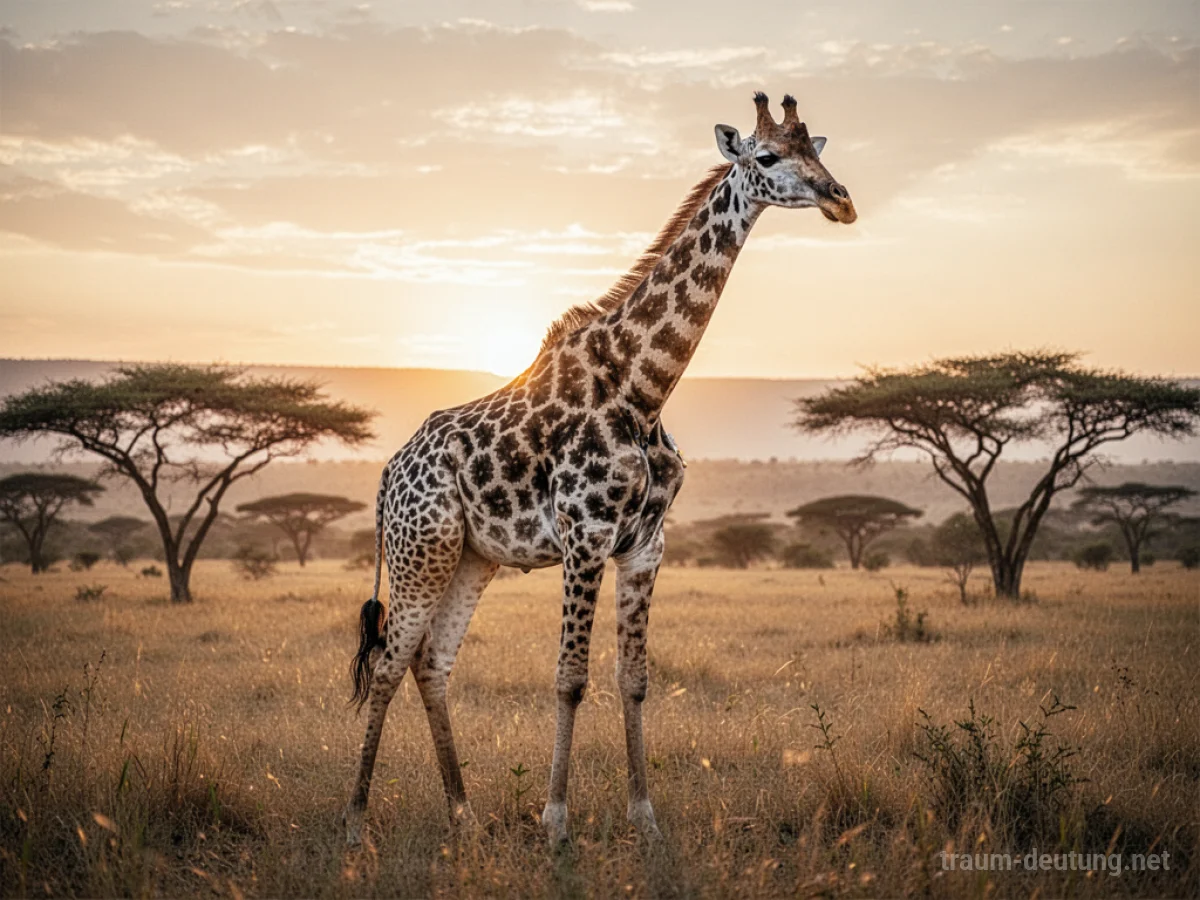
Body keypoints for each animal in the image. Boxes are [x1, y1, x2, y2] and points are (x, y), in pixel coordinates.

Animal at [344, 92, 856, 847]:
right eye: (766, 156)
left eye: (814, 150)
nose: (840, 199)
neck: (642, 388)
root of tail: (387, 476)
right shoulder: (584, 535)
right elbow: (570, 677)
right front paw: (555, 822)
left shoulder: (645, 545)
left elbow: (633, 677)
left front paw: (645, 818)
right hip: (421, 552)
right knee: (386, 663)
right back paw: (355, 820)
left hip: (472, 558)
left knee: (431, 662)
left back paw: (463, 813)